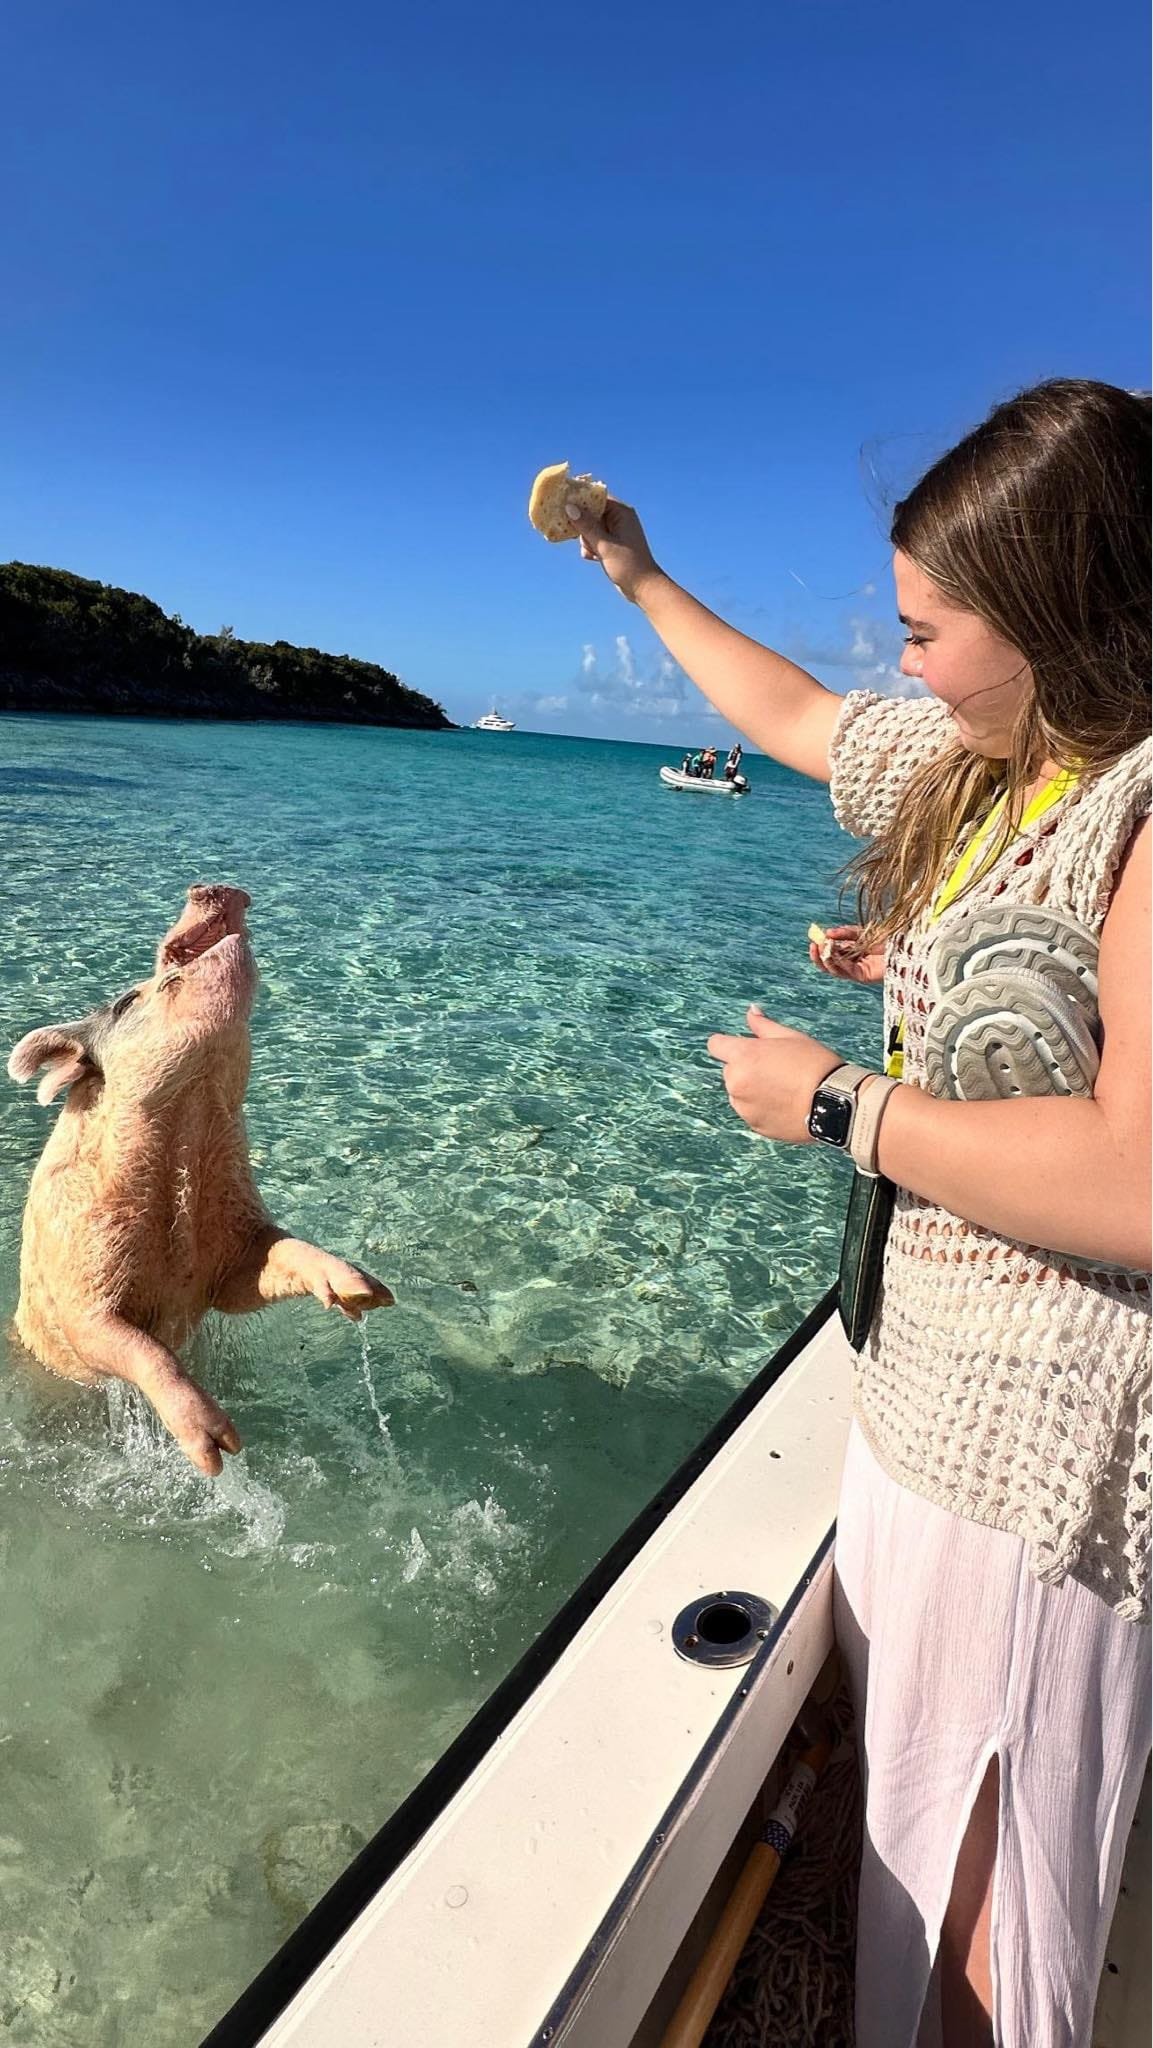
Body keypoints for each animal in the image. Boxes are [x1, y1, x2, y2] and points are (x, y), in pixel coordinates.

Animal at [7, 883, 393, 1475]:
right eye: (126, 1002)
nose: (217, 886)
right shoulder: (78, 1279)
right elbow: (133, 1343)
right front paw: (219, 1451)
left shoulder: (235, 1248)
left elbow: (274, 1259)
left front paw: (368, 1293)